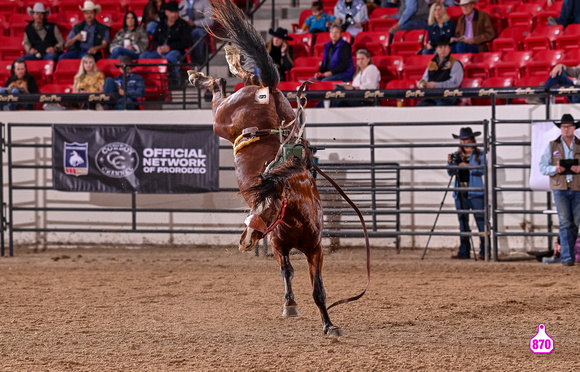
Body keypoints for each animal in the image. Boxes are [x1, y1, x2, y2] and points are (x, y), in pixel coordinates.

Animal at [190, 0, 344, 338]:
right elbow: (287, 270)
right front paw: (290, 305)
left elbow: (319, 290)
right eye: (253, 204)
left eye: (272, 207)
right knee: (226, 83)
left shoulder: (316, 250)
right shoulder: (276, 244)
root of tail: (271, 93)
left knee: (241, 80)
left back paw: (226, 64)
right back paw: (208, 72)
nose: (245, 241)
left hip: (226, 115)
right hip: (221, 119)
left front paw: (329, 325)